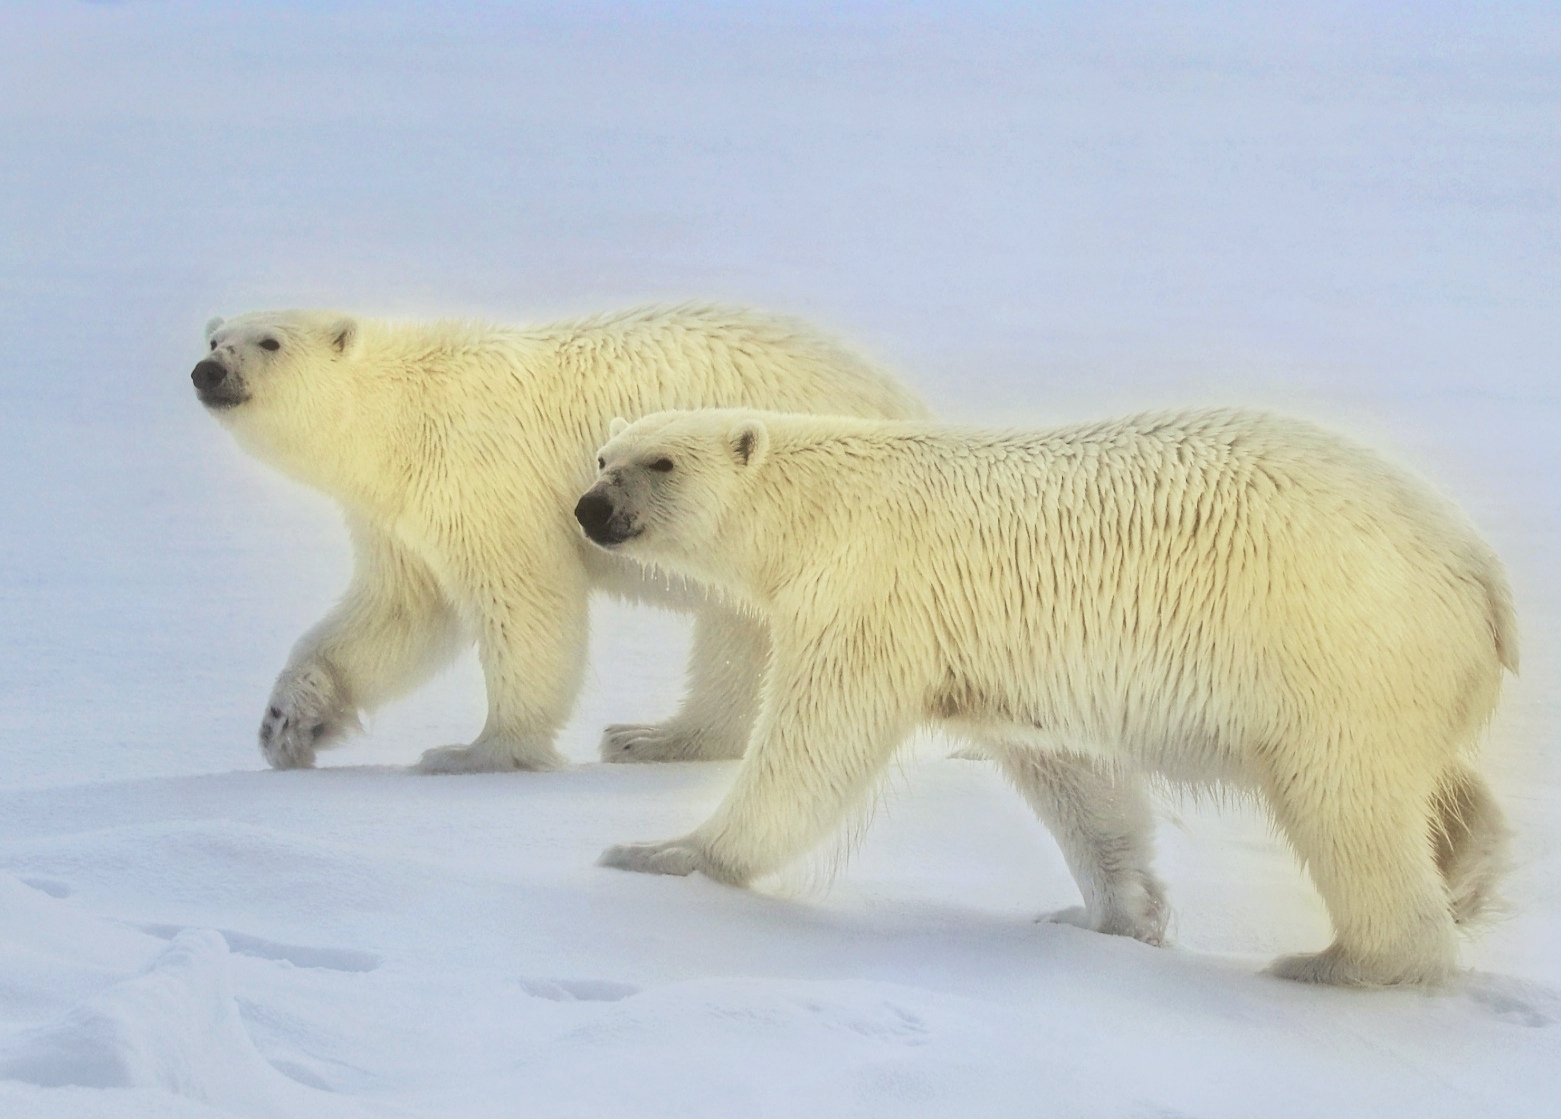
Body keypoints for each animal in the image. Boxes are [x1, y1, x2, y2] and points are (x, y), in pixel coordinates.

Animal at [192, 310, 924, 774]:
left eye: (269, 341)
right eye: (215, 335)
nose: (207, 371)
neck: (404, 411)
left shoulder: (479, 473)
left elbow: (524, 595)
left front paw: (473, 752)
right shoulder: (398, 513)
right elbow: (399, 613)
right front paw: (287, 724)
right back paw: (651, 737)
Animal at [580, 405, 1517, 980]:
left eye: (659, 461)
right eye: (601, 455)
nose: (588, 508)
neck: (821, 505)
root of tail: (1480, 572)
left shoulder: (870, 593)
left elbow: (815, 742)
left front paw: (662, 851)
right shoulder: (1005, 660)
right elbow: (1074, 778)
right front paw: (1107, 914)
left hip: (1332, 642)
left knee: (1344, 801)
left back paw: (1340, 961)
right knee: (1431, 782)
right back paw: (1467, 867)